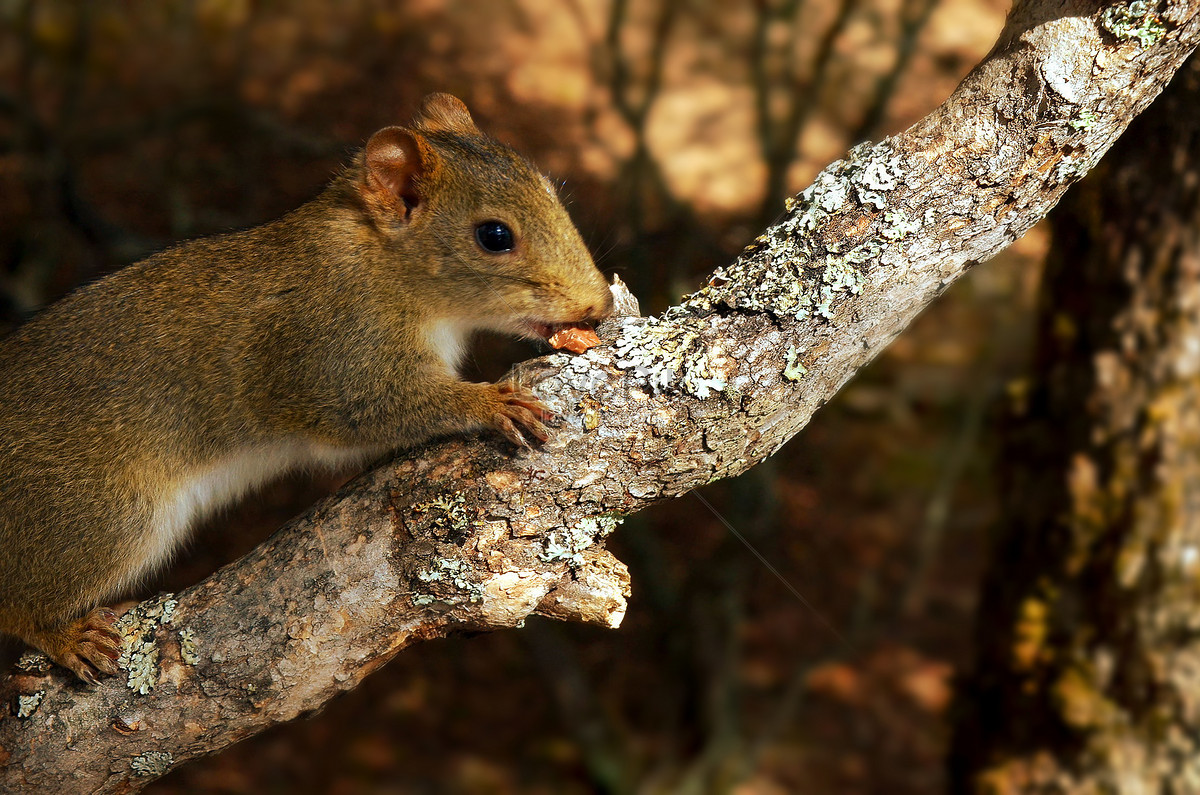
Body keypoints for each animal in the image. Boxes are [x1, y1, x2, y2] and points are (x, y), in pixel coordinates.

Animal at [0, 91, 614, 677]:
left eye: (550, 188)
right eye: (494, 236)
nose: (599, 305)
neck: (382, 265)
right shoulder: (331, 353)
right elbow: (374, 410)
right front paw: (490, 401)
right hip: (99, 516)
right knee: (18, 606)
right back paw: (64, 638)